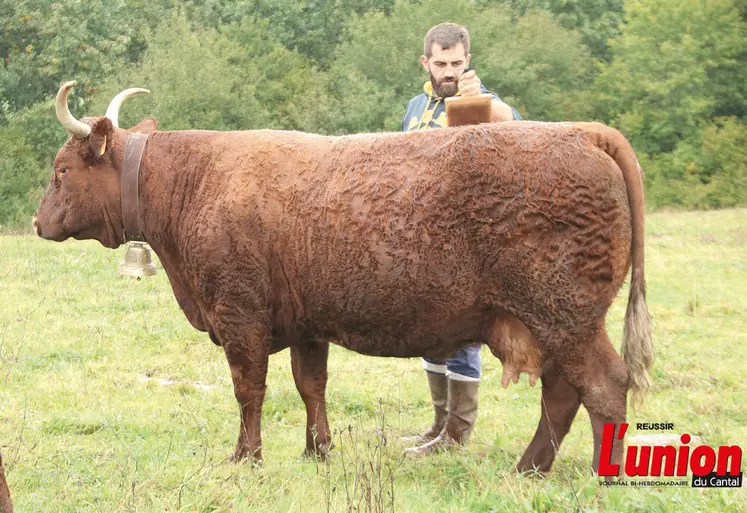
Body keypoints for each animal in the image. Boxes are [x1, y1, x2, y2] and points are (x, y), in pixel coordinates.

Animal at [32, 81, 652, 476]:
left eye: (61, 170)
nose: (38, 222)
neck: (198, 181)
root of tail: (582, 133)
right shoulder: (306, 323)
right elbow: (312, 386)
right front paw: (318, 451)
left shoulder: (239, 315)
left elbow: (248, 389)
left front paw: (246, 458)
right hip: (552, 323)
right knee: (563, 394)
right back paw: (529, 469)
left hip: (564, 316)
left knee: (602, 386)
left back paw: (601, 475)